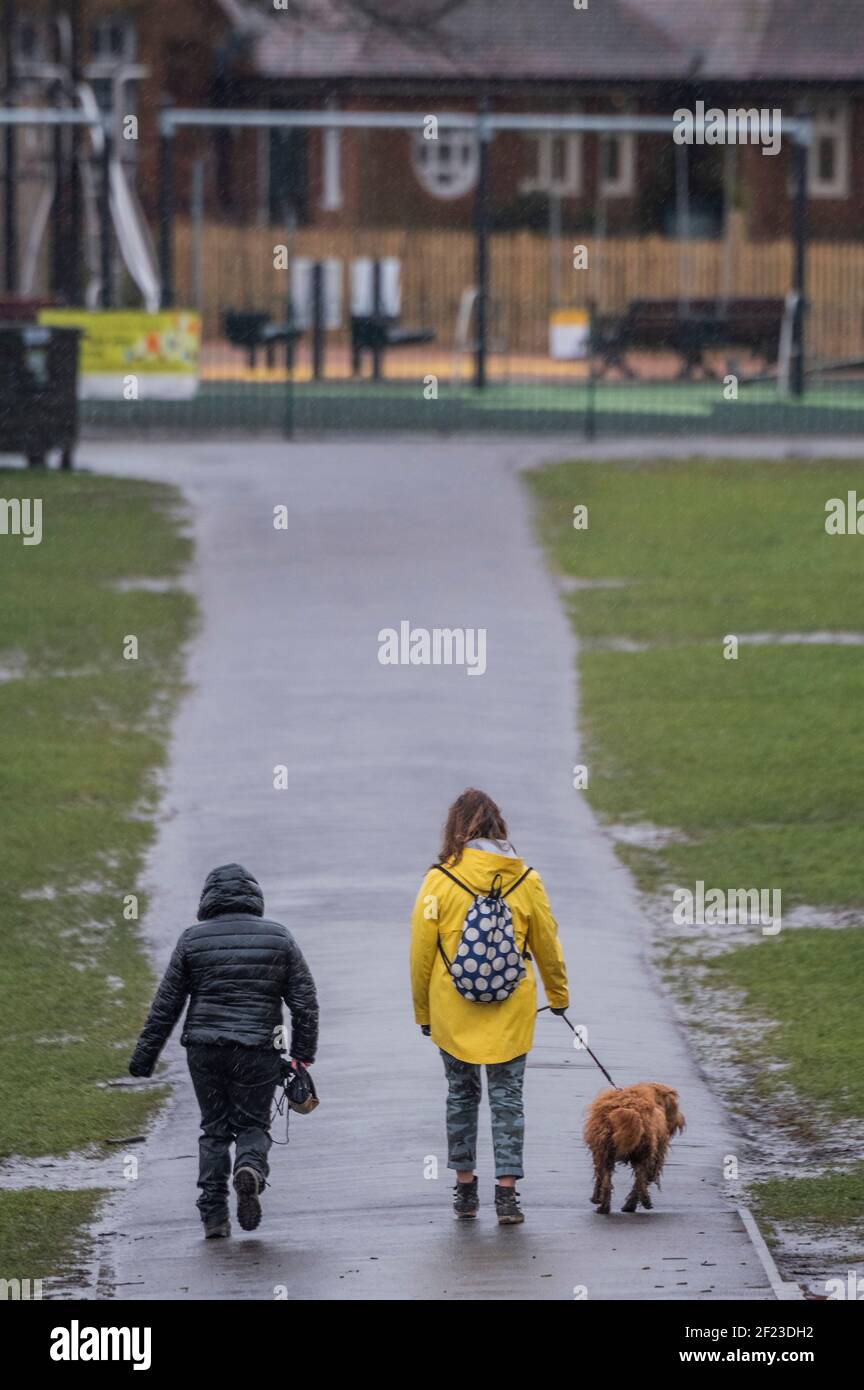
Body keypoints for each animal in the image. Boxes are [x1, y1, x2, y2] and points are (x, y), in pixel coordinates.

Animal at [586, 1084, 686, 1217]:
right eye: (675, 1106)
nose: (682, 1120)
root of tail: (631, 1109)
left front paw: (596, 1198)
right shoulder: (657, 1156)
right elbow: (648, 1178)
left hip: (607, 1153)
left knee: (607, 1180)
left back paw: (605, 1207)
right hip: (643, 1153)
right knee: (639, 1180)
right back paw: (638, 1202)